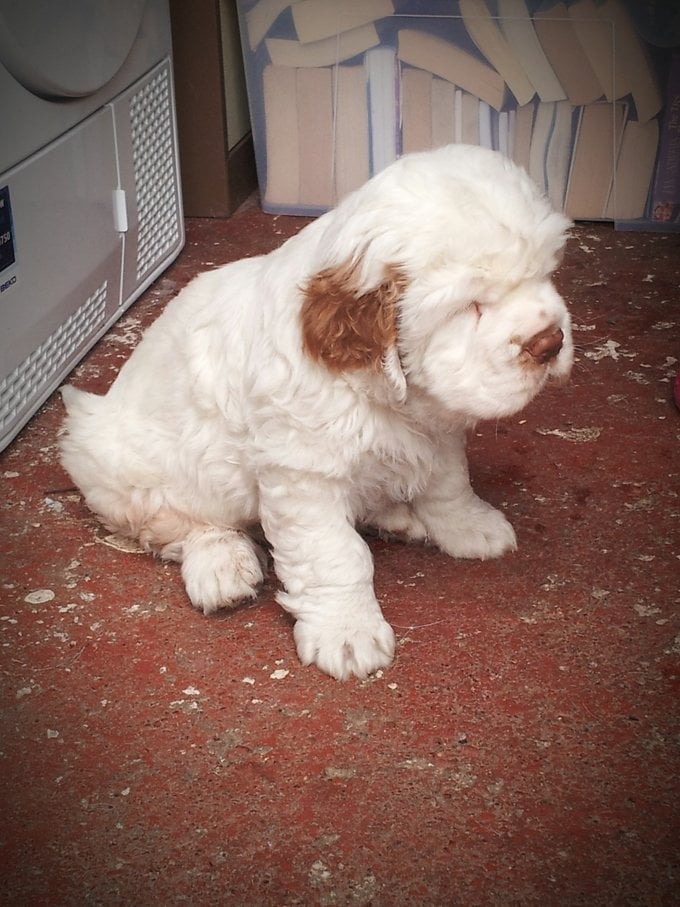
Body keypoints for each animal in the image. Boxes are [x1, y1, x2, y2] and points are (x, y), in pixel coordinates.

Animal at [61, 144, 572, 680]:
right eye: (470, 306)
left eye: (545, 274)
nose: (551, 342)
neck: (381, 393)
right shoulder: (303, 474)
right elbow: (335, 554)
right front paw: (347, 632)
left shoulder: (439, 425)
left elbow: (449, 482)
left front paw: (470, 526)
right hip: (124, 470)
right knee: (183, 525)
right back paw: (222, 567)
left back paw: (395, 517)